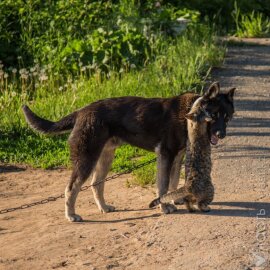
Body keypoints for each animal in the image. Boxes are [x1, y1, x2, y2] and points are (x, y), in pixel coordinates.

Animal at [22, 81, 234, 221]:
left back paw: (104, 207)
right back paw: (71, 215)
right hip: (86, 159)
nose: (222, 135)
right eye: (214, 115)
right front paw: (164, 206)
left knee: (96, 184)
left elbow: (173, 183)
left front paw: (175, 201)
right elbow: (163, 186)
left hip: (105, 158)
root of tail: (80, 112)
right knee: (71, 188)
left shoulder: (178, 157)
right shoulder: (165, 156)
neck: (190, 110)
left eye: (227, 117)